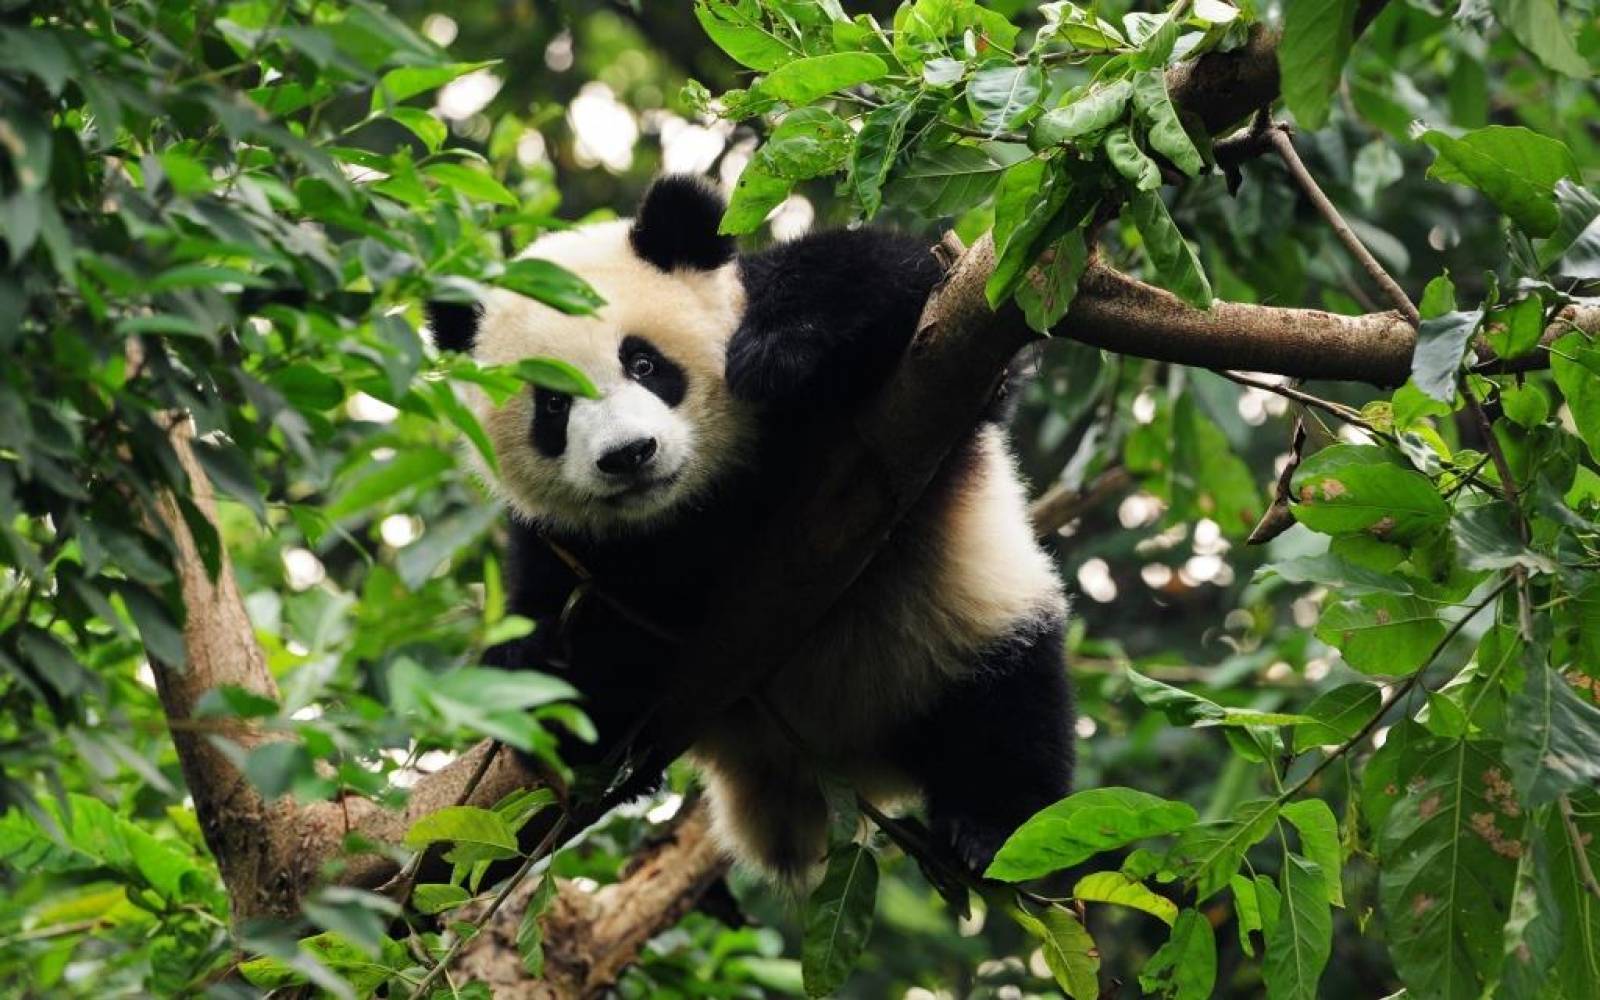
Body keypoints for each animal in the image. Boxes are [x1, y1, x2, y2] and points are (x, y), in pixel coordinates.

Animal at [425, 175, 1075, 876]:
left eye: (644, 364)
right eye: (552, 404)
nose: (628, 455)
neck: (703, 502)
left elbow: (903, 282)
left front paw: (779, 350)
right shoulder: (569, 547)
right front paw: (536, 657)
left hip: (958, 628)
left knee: (1007, 713)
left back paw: (987, 828)